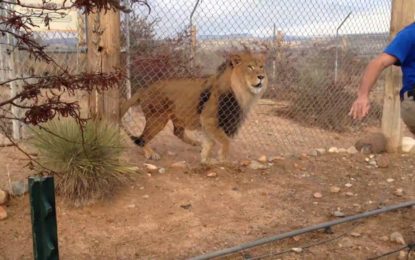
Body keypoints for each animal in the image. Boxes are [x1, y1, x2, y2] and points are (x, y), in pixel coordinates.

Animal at [120, 50, 270, 164]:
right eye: (250, 67)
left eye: (261, 67)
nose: (261, 76)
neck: (242, 92)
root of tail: (144, 89)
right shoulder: (209, 119)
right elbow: (225, 141)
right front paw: (222, 158)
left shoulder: (209, 123)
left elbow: (211, 142)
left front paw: (205, 159)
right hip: (157, 118)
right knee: (142, 138)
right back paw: (150, 153)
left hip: (177, 116)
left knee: (177, 132)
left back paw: (196, 143)